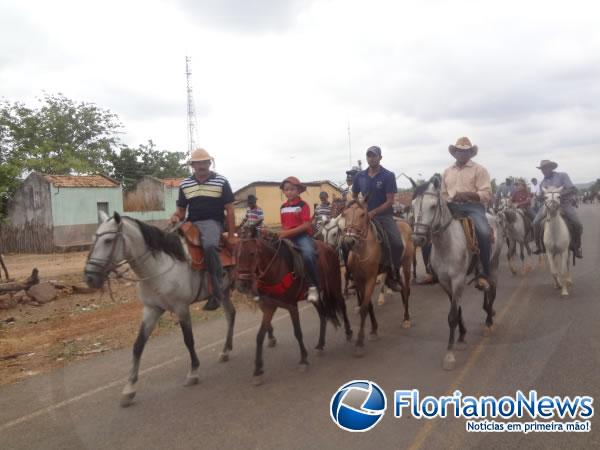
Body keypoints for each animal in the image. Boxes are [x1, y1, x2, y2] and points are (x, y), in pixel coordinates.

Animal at [84, 213, 237, 406]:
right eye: (93, 240)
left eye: (108, 240)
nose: (89, 278)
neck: (159, 267)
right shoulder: (152, 309)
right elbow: (138, 345)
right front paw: (129, 388)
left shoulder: (181, 308)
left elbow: (189, 340)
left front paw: (193, 372)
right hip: (223, 293)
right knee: (231, 315)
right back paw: (225, 351)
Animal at [237, 232, 354, 384]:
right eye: (237, 254)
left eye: (252, 253)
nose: (241, 285)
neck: (276, 270)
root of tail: (330, 248)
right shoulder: (269, 307)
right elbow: (259, 336)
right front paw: (257, 370)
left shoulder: (291, 306)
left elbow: (298, 332)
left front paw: (303, 359)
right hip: (315, 297)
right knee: (323, 315)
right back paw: (320, 345)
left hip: (334, 285)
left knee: (342, 305)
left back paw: (349, 332)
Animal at [342, 200, 412, 356]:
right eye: (344, 214)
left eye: (363, 214)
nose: (349, 241)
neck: (362, 251)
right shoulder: (359, 280)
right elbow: (368, 305)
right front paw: (374, 329)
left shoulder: (370, 279)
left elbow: (364, 308)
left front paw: (359, 342)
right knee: (401, 287)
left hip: (407, 264)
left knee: (407, 290)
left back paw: (406, 319)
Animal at [410, 178, 504, 370]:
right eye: (413, 205)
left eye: (433, 206)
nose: (417, 239)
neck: (447, 245)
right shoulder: (445, 282)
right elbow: (457, 309)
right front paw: (461, 336)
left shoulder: (458, 280)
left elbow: (452, 315)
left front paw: (449, 354)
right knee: (485, 289)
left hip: (494, 264)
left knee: (492, 291)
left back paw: (489, 322)